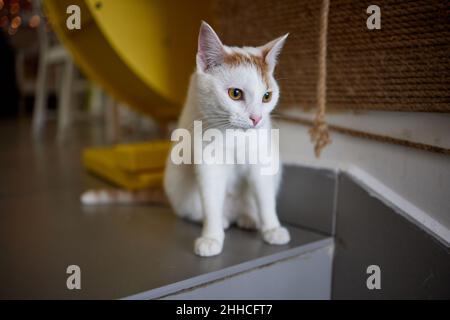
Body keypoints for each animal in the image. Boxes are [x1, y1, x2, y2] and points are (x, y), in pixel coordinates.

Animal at [163, 21, 290, 258]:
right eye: (235, 93)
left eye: (267, 96)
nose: (257, 118)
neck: (235, 136)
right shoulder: (208, 164)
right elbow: (211, 201)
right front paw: (211, 237)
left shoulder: (262, 161)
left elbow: (265, 198)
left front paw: (272, 228)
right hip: (181, 190)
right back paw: (221, 221)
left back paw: (250, 219)